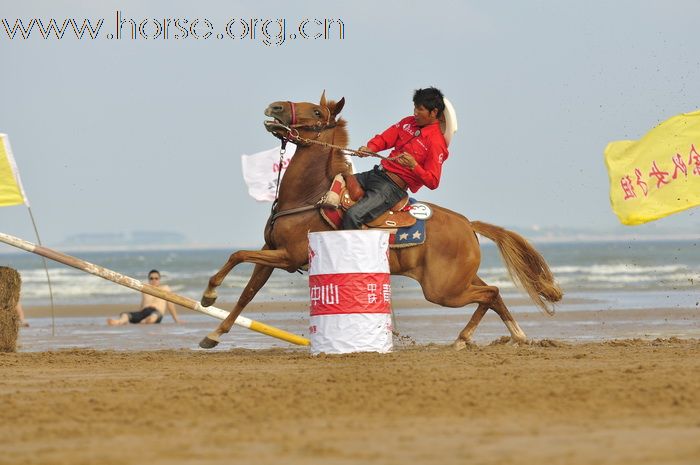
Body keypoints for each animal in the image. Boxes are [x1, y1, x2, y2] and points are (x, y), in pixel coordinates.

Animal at [198, 91, 564, 348]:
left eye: (316, 112)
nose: (273, 107)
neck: (310, 196)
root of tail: (468, 225)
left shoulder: (288, 257)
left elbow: (237, 255)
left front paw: (209, 295)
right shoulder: (269, 251)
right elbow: (247, 290)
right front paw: (213, 333)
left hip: (443, 290)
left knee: (490, 293)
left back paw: (474, 338)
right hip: (457, 281)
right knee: (494, 293)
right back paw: (507, 336)